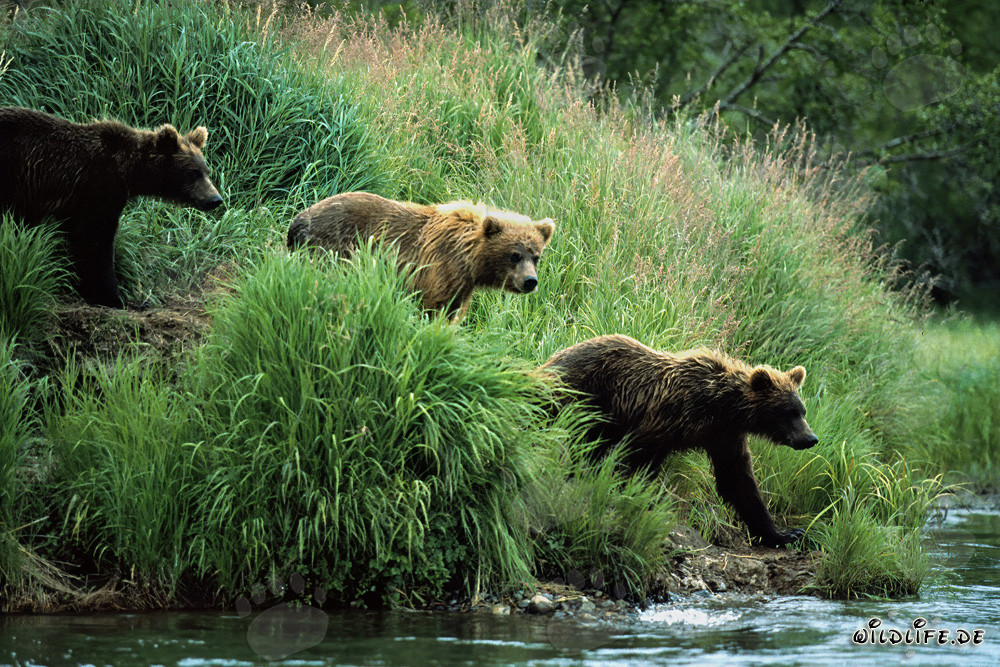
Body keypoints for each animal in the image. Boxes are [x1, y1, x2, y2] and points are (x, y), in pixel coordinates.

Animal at [0, 106, 223, 308]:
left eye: (207, 170)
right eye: (193, 173)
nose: (216, 199)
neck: (129, 170)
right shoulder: (99, 188)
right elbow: (95, 241)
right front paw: (117, 298)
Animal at [287, 192, 555, 317]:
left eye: (536, 256)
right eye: (514, 254)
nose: (530, 281)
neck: (471, 262)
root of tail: (297, 220)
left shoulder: (461, 287)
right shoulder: (440, 270)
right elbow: (432, 307)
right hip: (332, 247)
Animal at [540, 334, 818, 547]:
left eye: (802, 411)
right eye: (788, 412)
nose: (810, 438)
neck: (724, 408)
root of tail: (552, 358)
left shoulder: (724, 437)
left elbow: (739, 481)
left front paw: (784, 533)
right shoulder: (663, 420)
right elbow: (639, 459)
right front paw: (635, 495)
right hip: (584, 396)